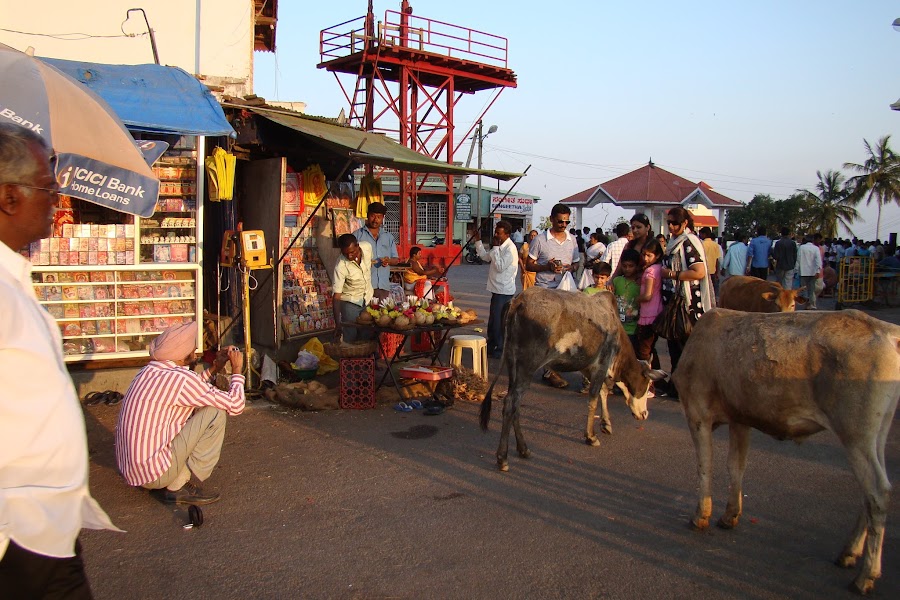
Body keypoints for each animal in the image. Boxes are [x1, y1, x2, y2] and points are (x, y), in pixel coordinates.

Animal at [482, 288, 664, 472]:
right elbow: (594, 399)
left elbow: (603, 393)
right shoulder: (602, 363)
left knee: (515, 406)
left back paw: (523, 449)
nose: (644, 414)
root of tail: (517, 301)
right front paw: (591, 436)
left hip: (513, 365)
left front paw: (606, 424)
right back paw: (503, 458)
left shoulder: (589, 367)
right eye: (647, 384)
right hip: (527, 367)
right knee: (510, 403)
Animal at [676, 310, 900, 596]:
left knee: (878, 492)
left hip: (855, 433)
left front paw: (700, 516)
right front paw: (730, 515)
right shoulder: (741, 418)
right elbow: (736, 466)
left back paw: (865, 576)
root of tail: (886, 331)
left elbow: (705, 466)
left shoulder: (698, 412)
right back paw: (848, 552)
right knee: (870, 493)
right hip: (877, 432)